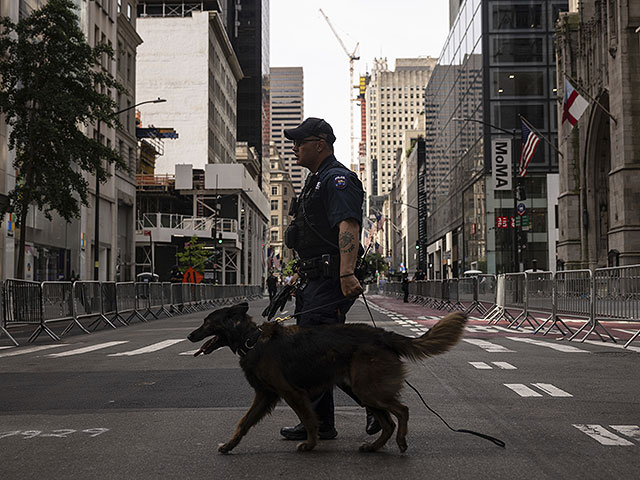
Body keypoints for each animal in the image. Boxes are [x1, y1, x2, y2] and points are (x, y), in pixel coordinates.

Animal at [185, 304, 464, 454]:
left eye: (207, 322)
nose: (189, 336)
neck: (251, 340)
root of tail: (384, 334)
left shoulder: (293, 393)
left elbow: (309, 420)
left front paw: (310, 444)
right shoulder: (264, 396)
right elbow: (243, 423)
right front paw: (229, 445)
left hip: (367, 390)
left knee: (402, 411)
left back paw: (401, 442)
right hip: (362, 391)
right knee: (388, 422)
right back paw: (374, 446)